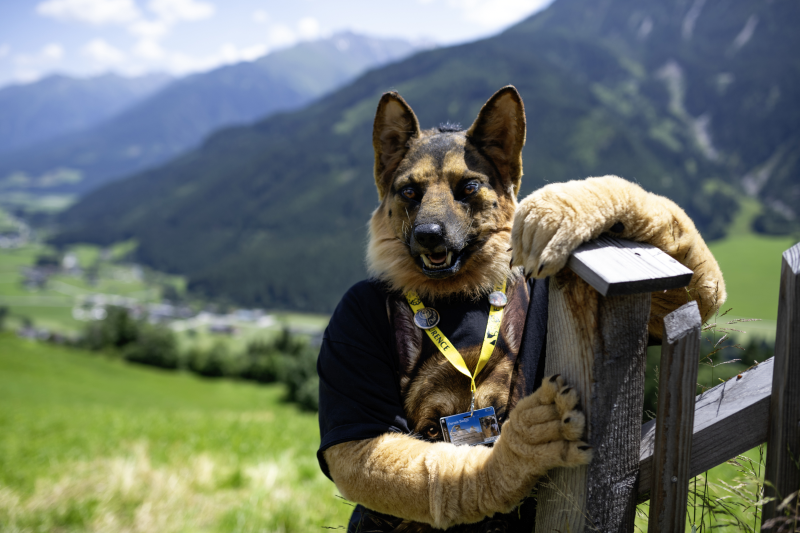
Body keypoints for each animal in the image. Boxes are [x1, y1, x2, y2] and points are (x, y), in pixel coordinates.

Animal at [317, 86, 725, 532]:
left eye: (468, 188)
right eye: (410, 192)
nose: (428, 235)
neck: (459, 291)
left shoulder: (680, 298)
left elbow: (698, 289)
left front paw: (563, 208)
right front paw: (521, 448)